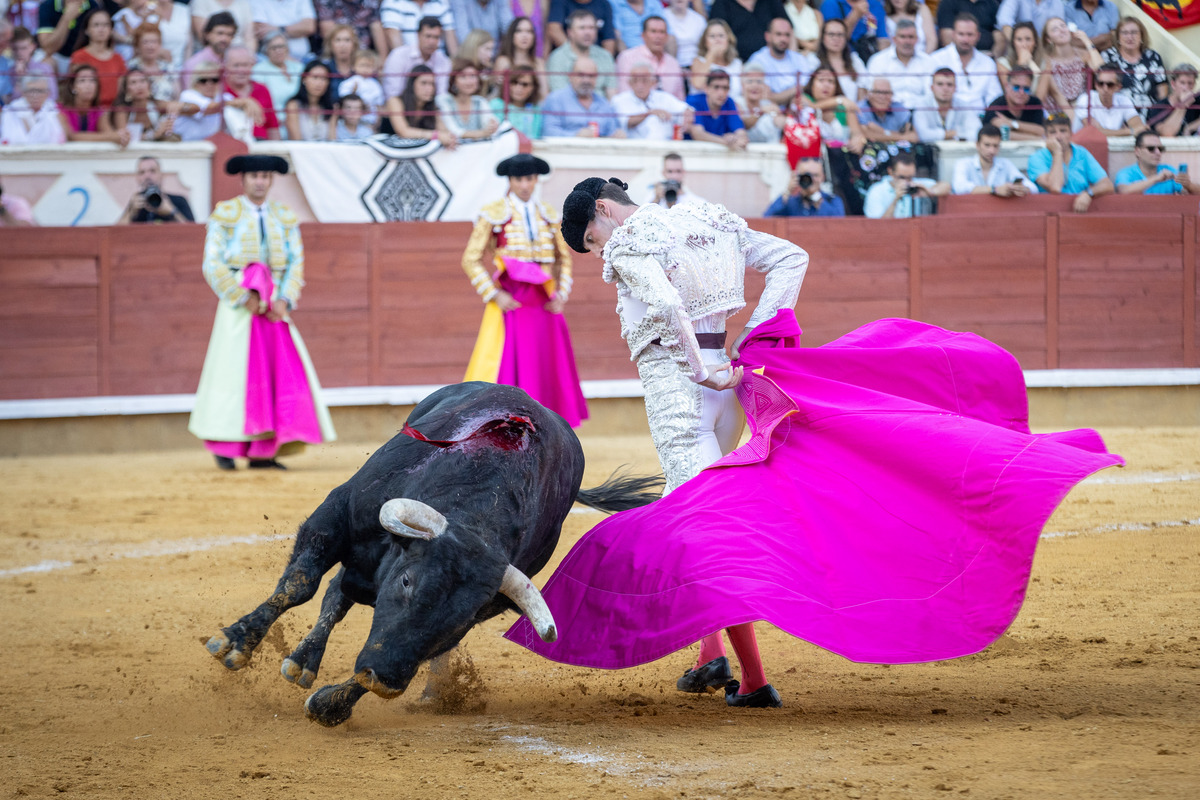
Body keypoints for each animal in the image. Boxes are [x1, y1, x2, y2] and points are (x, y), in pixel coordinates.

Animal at [201, 383, 662, 729]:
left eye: (462, 616)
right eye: (408, 581)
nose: (385, 677)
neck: (479, 497)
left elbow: (397, 655)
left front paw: (332, 705)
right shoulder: (336, 514)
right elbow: (299, 585)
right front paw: (235, 642)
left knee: (343, 592)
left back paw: (306, 662)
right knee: (332, 590)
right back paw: (301, 660)